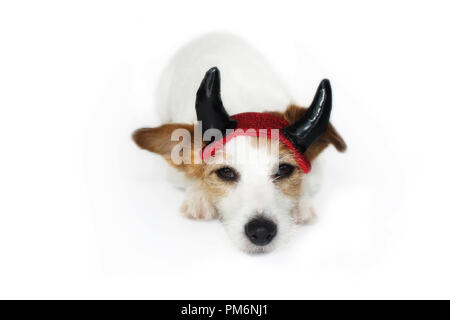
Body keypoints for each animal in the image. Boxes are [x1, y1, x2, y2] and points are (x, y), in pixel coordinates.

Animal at [132, 33, 346, 254]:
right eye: (226, 172)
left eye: (284, 169)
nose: (261, 231)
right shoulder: (174, 174)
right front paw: (199, 197)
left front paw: (301, 203)